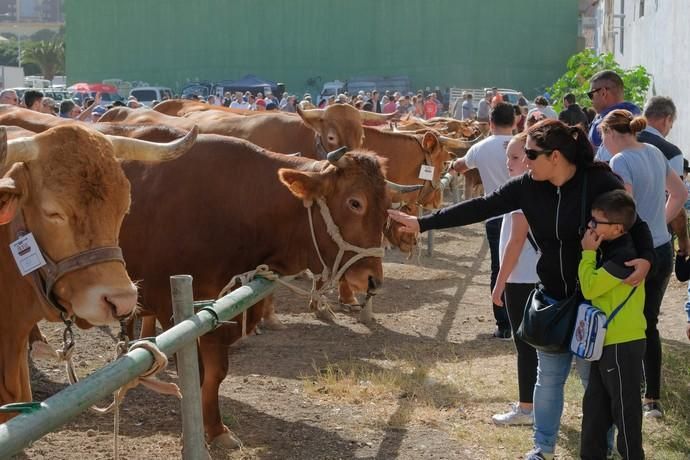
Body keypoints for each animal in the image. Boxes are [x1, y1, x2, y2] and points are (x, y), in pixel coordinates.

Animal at [116, 133, 390, 446]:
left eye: (387, 204)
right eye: (355, 202)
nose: (373, 279)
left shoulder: (221, 313)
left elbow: (217, 372)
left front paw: (217, 429)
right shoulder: (174, 309)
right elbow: (197, 373)